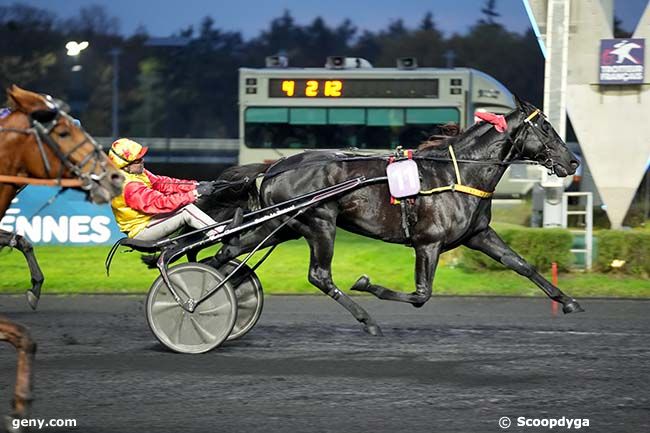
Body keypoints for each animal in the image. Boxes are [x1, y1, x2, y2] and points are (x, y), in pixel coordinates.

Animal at [204, 97, 584, 334]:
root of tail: (274, 168)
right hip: (318, 224)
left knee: (229, 253)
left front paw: (568, 301)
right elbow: (420, 295)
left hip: (282, 225)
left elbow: (521, 264)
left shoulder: (478, 235)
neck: (457, 173)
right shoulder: (428, 243)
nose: (573, 162)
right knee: (319, 276)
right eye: (545, 127)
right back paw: (367, 319)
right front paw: (367, 284)